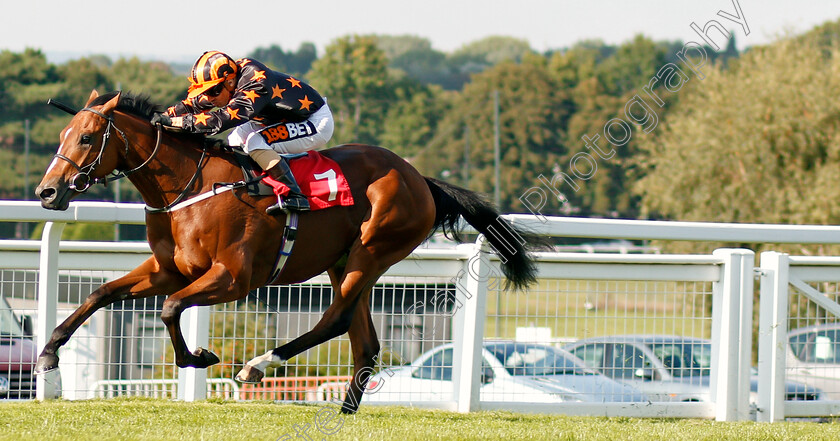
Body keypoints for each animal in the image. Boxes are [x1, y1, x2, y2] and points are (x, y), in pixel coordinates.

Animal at [34, 90, 540, 412]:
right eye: (61, 135)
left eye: (85, 138)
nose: (47, 192)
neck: (189, 189)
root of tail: (421, 179)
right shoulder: (168, 269)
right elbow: (99, 294)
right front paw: (49, 356)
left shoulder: (234, 277)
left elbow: (171, 308)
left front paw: (200, 358)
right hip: (343, 262)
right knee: (365, 342)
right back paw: (344, 411)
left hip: (372, 251)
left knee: (334, 320)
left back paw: (256, 367)